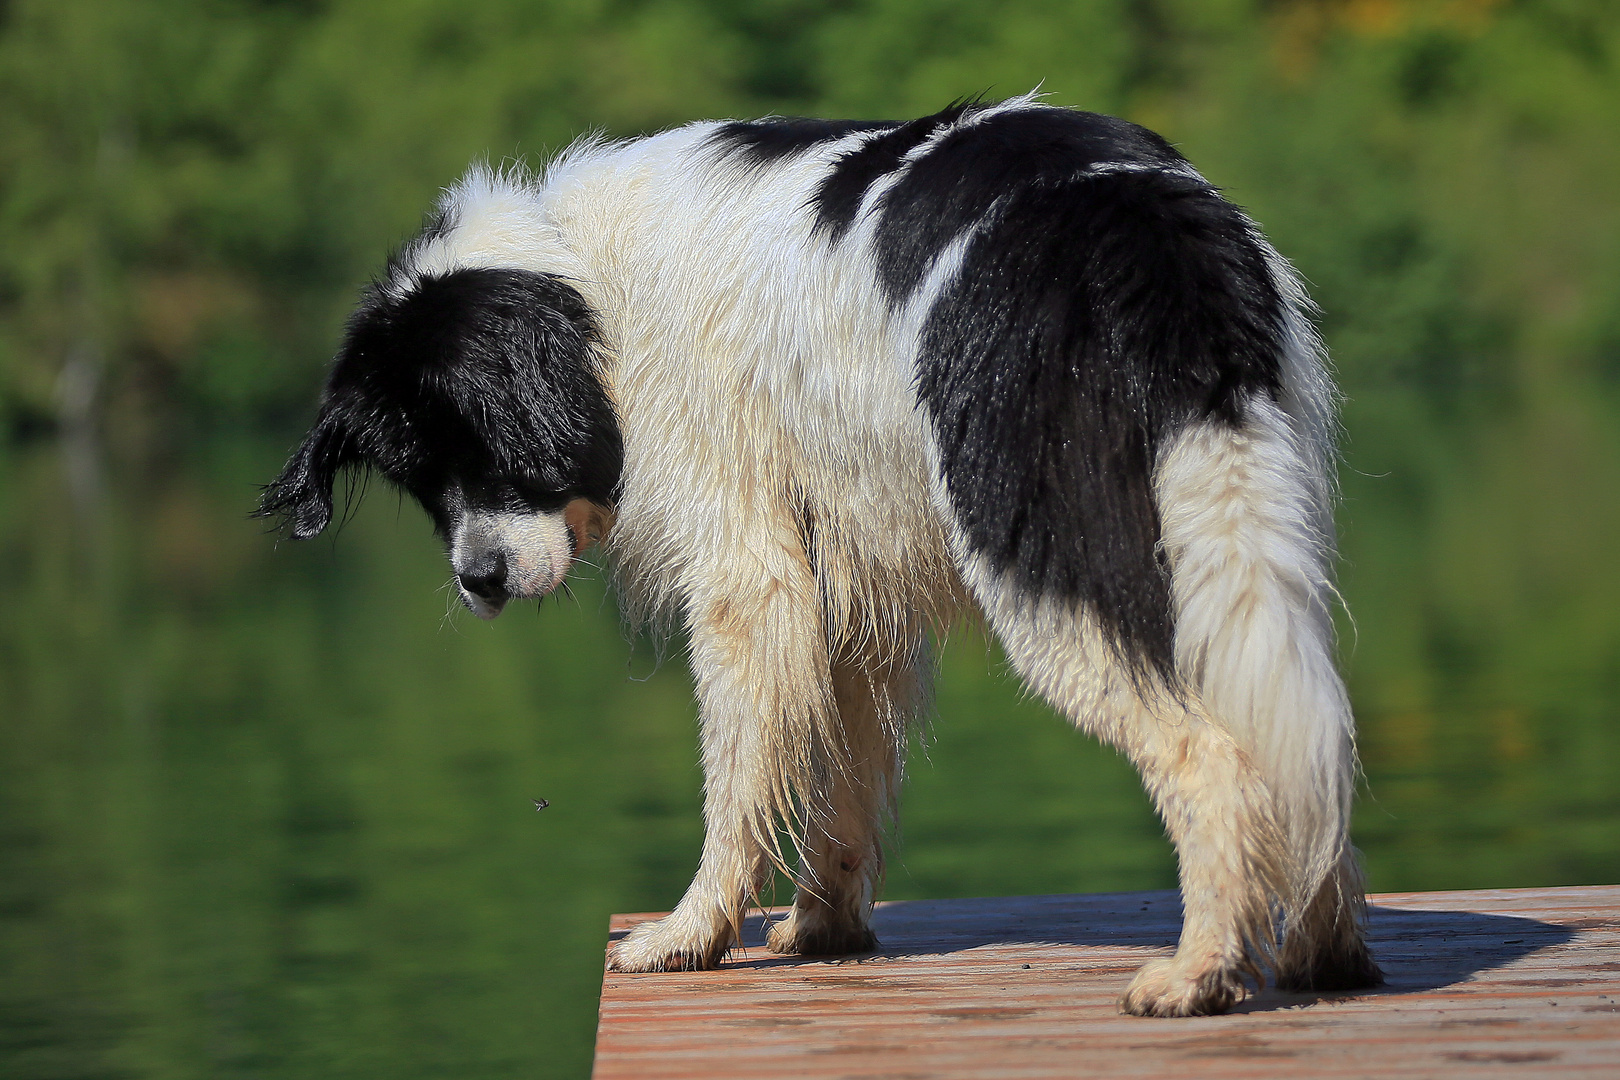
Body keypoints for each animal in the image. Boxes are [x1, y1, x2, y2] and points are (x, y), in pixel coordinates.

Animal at [262, 93, 1380, 1016]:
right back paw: (1321, 956)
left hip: (1045, 560)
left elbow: (736, 782)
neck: (584, 284)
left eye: (481, 447)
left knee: (1213, 754)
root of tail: (1137, 215)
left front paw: (687, 936)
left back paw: (1199, 974)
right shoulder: (847, 595)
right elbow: (840, 782)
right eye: (420, 479)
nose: (478, 581)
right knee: (1304, 730)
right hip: (1244, 518)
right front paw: (821, 931)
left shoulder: (746, 578)